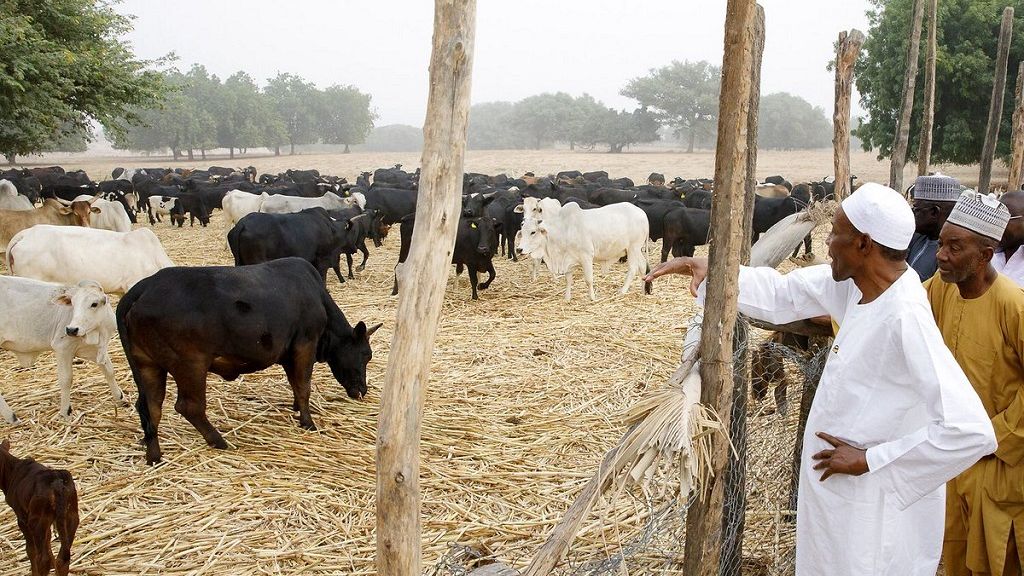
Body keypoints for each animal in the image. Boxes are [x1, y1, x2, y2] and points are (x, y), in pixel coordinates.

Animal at [0, 276, 124, 420]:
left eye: (94, 304)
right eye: (73, 304)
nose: (71, 329)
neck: (98, 331)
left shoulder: (93, 349)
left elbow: (109, 370)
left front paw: (120, 398)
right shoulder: (63, 348)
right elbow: (66, 380)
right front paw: (65, 411)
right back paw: (11, 417)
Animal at [0, 436, 77, 569]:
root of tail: (57, 482)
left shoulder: (22, 516)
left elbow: (31, 550)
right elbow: (48, 539)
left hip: (36, 519)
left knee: (42, 558)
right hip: (70, 515)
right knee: (63, 558)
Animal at [116, 258, 380, 463]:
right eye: (365, 355)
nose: (362, 390)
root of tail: (146, 286)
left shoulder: (288, 353)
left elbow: (295, 384)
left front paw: (296, 408)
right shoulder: (305, 345)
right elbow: (304, 386)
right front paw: (308, 422)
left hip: (149, 365)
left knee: (151, 408)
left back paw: (154, 456)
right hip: (190, 366)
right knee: (188, 407)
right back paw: (220, 441)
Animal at [516, 200, 651, 301]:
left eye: (533, 232)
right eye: (522, 232)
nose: (519, 249)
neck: (564, 230)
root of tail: (642, 213)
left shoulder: (586, 257)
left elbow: (588, 280)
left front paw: (592, 298)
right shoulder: (568, 260)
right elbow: (568, 281)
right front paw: (567, 298)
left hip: (633, 248)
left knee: (633, 269)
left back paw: (622, 291)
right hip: (636, 250)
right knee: (643, 266)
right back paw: (643, 290)